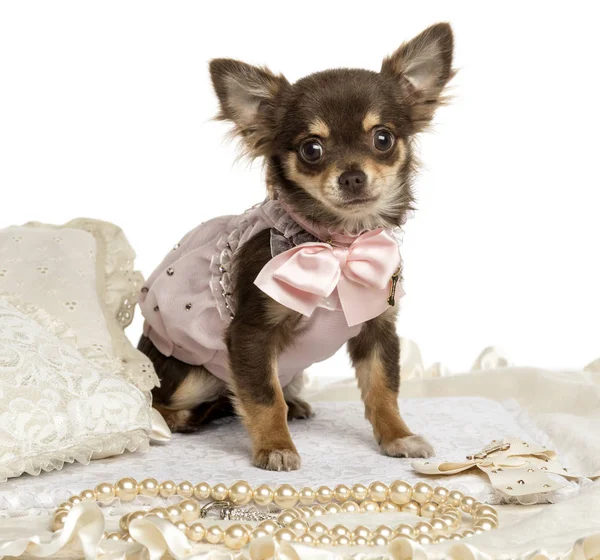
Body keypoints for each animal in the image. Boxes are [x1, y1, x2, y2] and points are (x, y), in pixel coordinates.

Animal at [139, 21, 454, 470]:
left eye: (383, 139)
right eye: (311, 149)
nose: (352, 176)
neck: (340, 246)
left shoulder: (378, 327)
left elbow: (383, 388)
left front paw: (398, 436)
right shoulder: (250, 334)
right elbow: (262, 396)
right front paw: (275, 446)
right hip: (193, 374)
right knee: (154, 401)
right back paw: (183, 419)